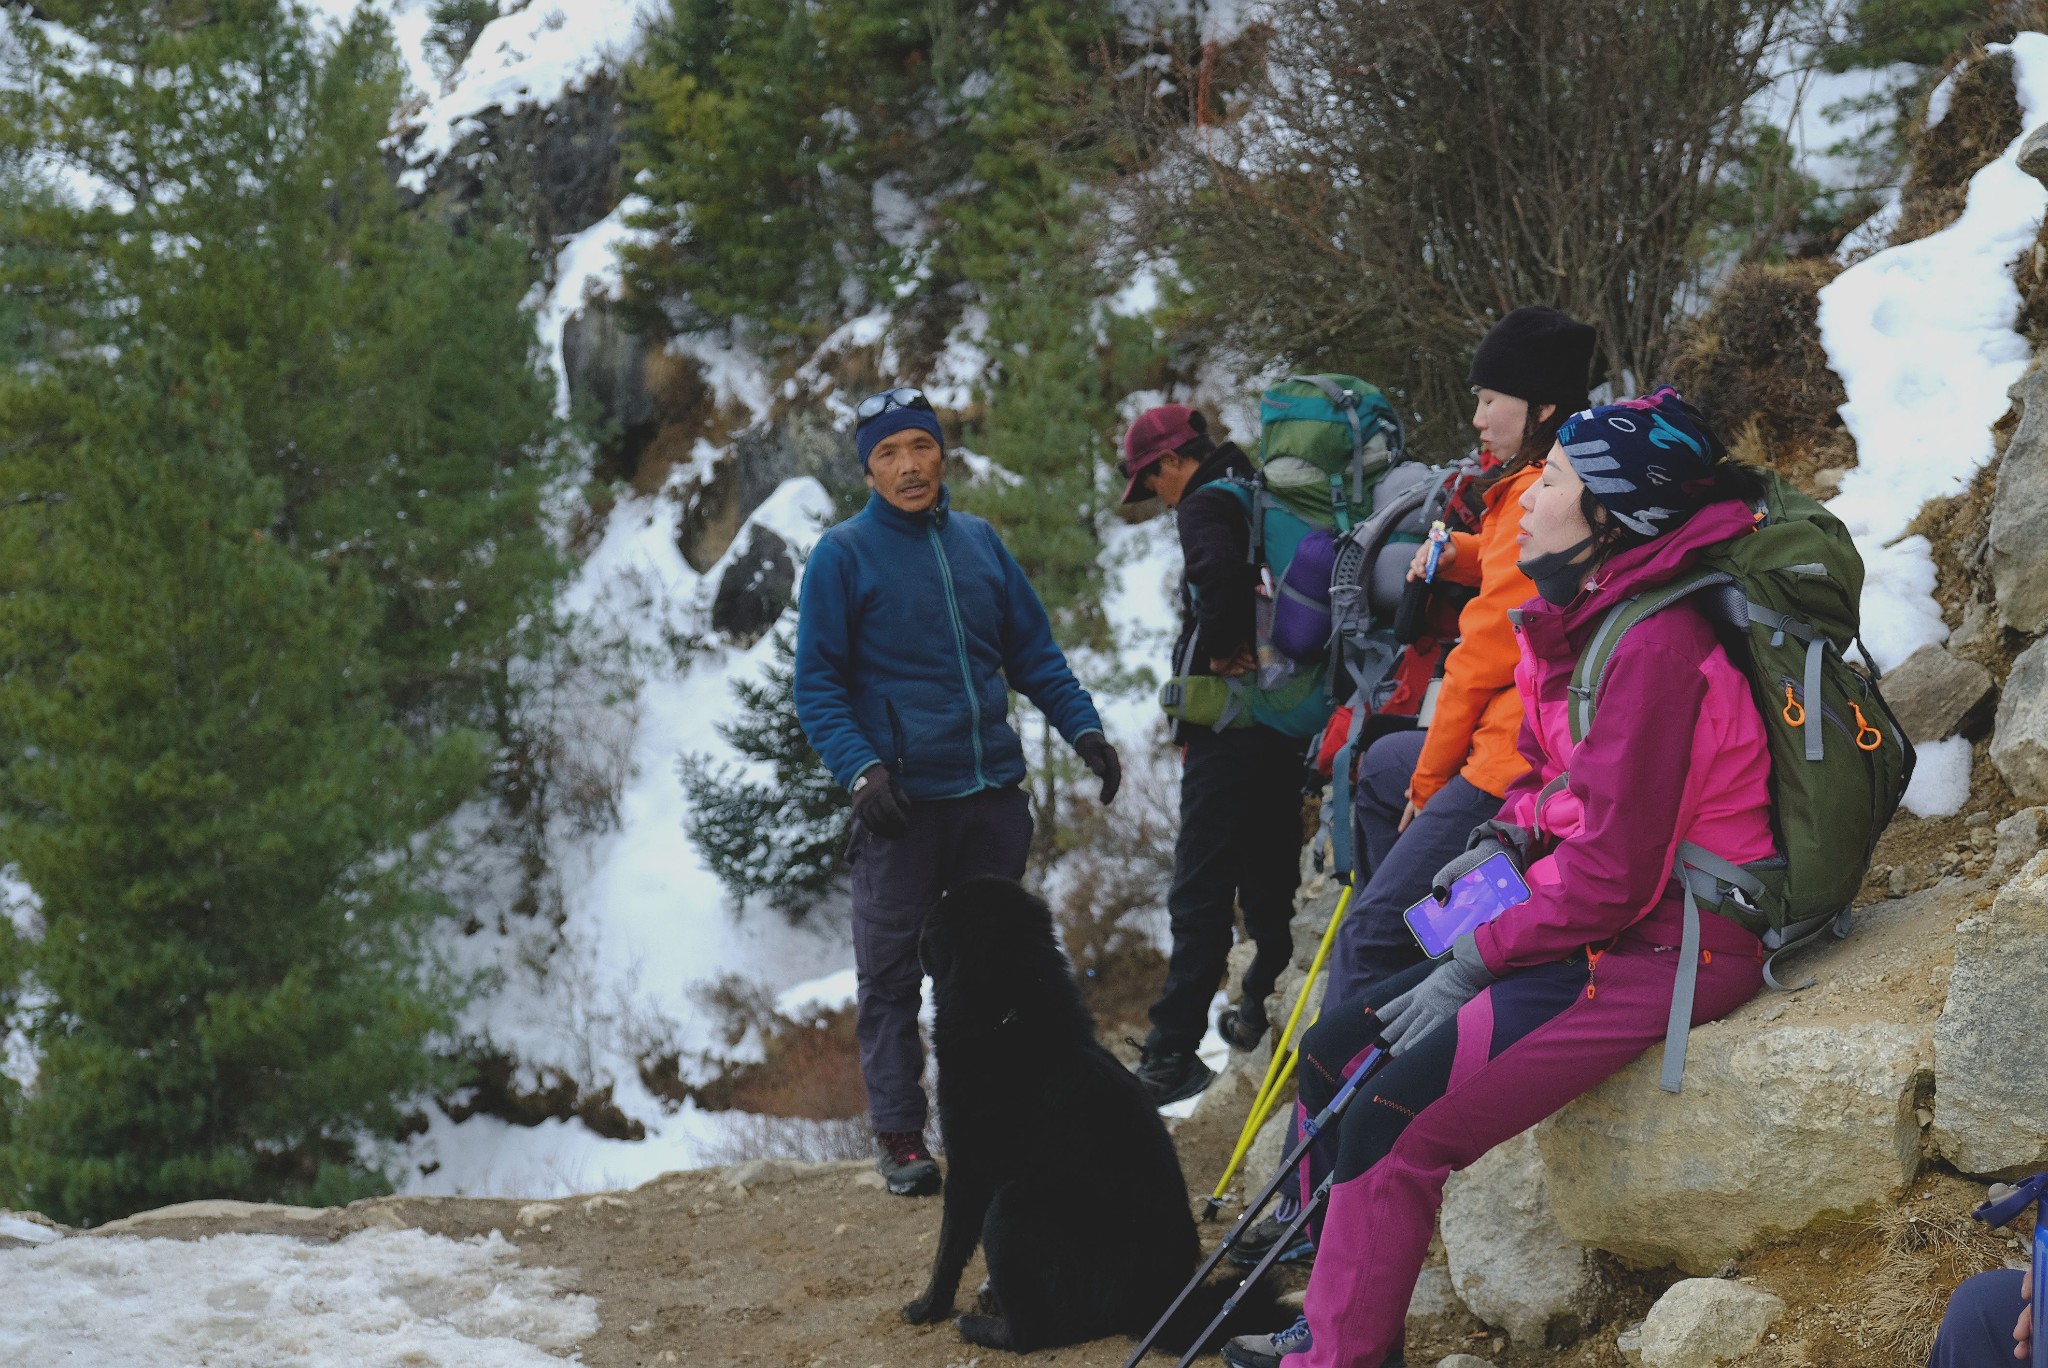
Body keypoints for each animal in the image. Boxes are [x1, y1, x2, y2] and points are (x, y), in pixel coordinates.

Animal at [905, 872, 1204, 1351]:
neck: (1011, 1020)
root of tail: (1158, 1304)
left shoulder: (969, 1168)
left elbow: (948, 1249)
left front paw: (926, 1307)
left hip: (1010, 1207)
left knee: (1031, 1332)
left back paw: (977, 1325)